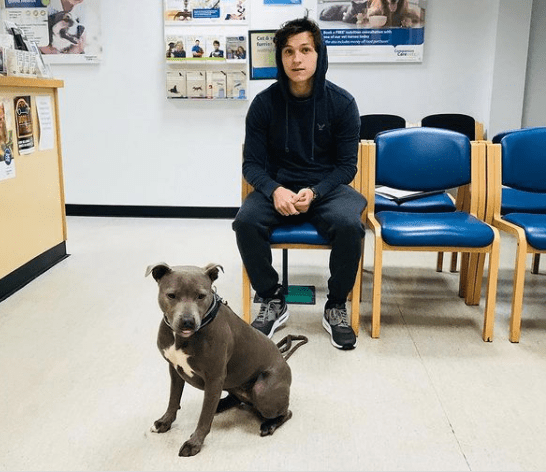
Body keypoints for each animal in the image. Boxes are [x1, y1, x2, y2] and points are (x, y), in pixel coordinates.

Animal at [143, 262, 288, 458]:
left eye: (201, 296)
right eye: (171, 295)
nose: (188, 321)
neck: (182, 337)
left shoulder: (214, 377)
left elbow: (204, 417)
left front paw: (194, 443)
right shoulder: (174, 370)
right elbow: (173, 399)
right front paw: (165, 422)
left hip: (262, 390)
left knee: (286, 412)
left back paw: (269, 424)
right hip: (231, 384)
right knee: (234, 399)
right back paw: (220, 404)